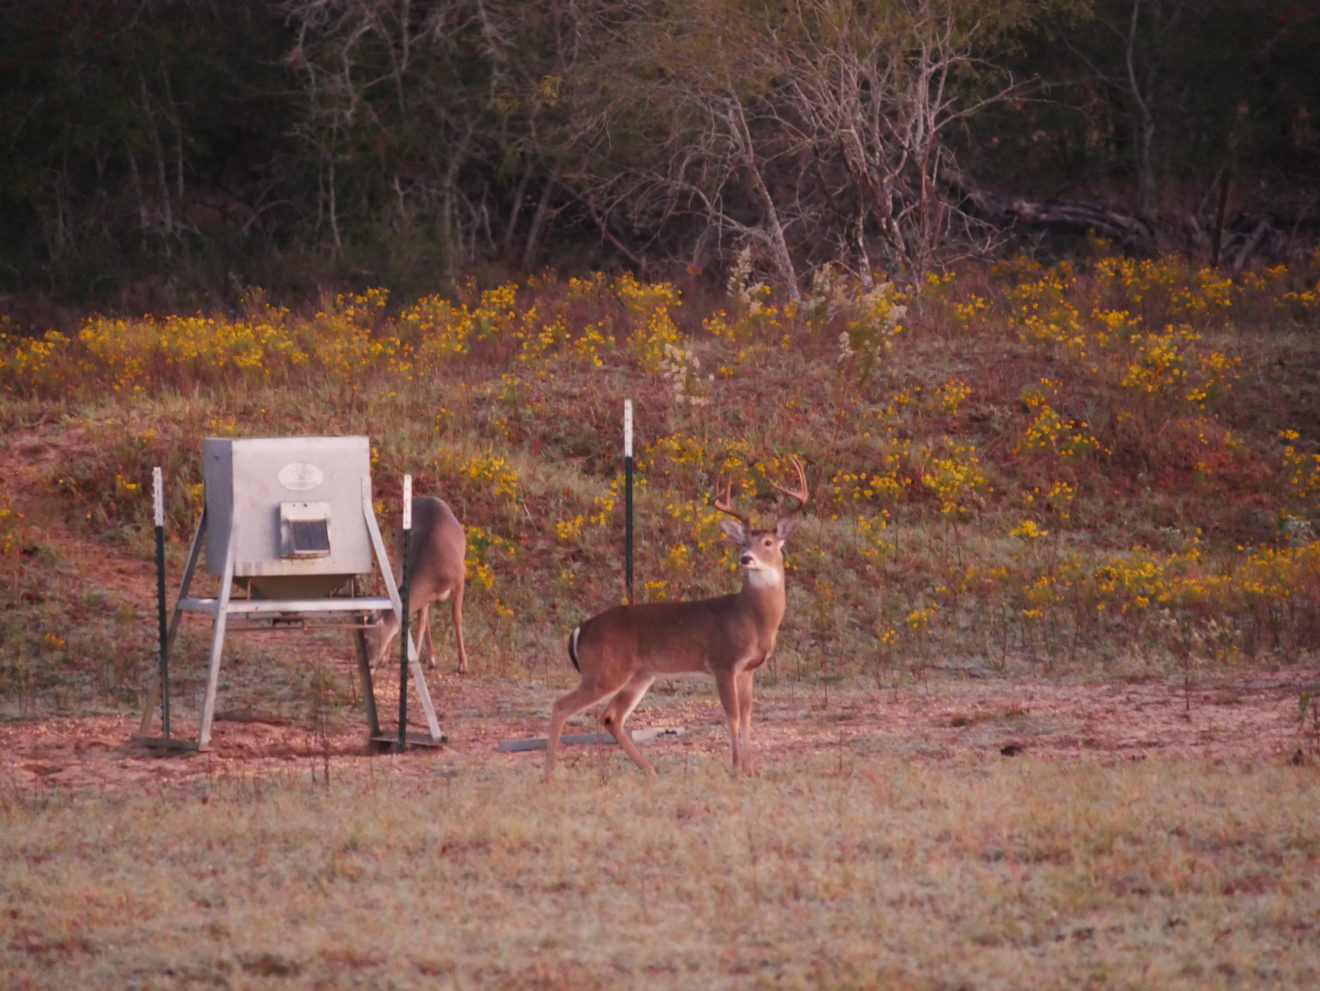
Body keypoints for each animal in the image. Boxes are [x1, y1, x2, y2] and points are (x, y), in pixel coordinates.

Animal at [369, 496, 472, 675]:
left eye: (368, 637)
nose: (368, 664)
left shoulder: (460, 577)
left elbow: (457, 617)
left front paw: (463, 665)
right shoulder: (425, 592)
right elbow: (422, 622)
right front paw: (411, 666)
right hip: (398, 558)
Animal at [543, 456, 807, 781]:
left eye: (768, 542)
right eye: (743, 542)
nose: (746, 559)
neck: (752, 618)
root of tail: (580, 629)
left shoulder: (748, 670)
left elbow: (747, 716)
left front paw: (750, 769)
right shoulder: (722, 662)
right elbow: (731, 715)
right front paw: (735, 769)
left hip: (640, 674)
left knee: (610, 716)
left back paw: (651, 772)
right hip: (605, 670)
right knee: (561, 705)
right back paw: (548, 776)